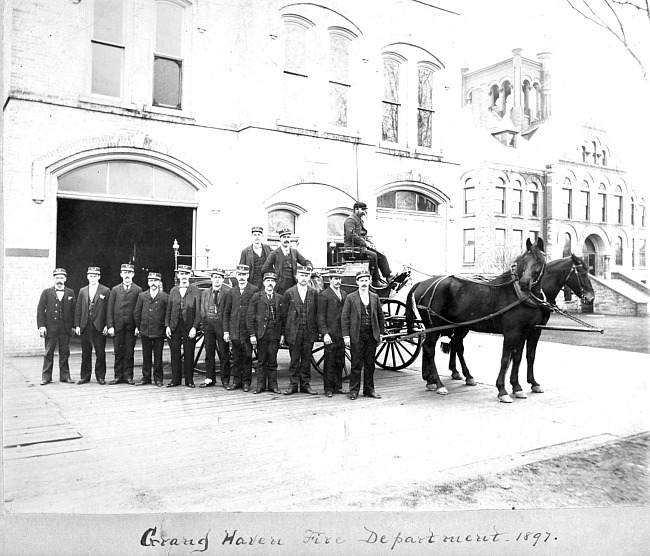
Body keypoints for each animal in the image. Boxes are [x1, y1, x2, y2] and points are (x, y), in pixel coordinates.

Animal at [404, 237, 548, 402]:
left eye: (540, 260)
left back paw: (439, 380)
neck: (517, 294)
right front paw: (502, 390)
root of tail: (422, 283)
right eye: (523, 260)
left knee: (447, 346)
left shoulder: (527, 331)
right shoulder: (511, 333)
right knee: (429, 348)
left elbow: (521, 357)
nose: (524, 284)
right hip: (434, 326)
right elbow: (506, 359)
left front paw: (519, 387)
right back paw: (439, 383)